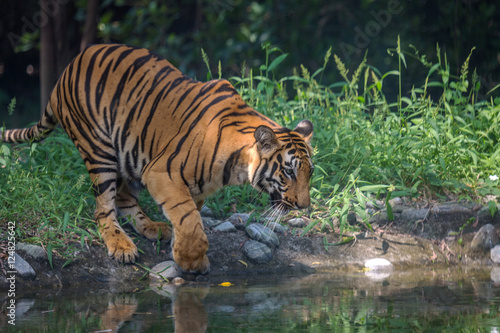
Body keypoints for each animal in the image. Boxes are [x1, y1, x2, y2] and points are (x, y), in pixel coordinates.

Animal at [0, 43, 312, 272]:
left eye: (309, 173)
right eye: (289, 172)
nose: (305, 206)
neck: (235, 167)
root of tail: (65, 72)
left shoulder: (192, 185)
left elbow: (189, 213)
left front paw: (180, 246)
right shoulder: (162, 172)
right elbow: (187, 216)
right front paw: (192, 261)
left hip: (128, 153)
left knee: (124, 198)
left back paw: (151, 227)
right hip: (99, 151)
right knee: (103, 208)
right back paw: (121, 246)